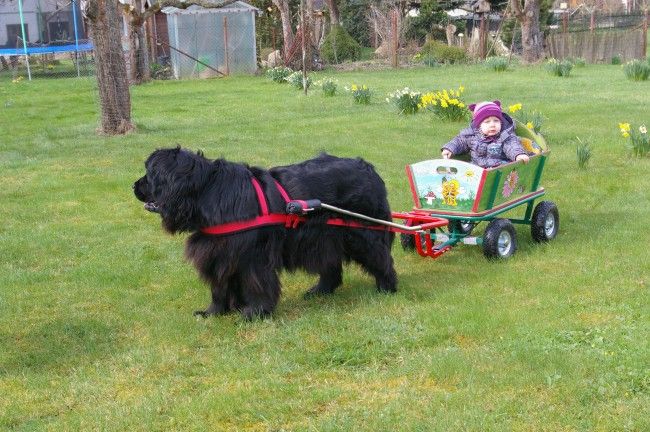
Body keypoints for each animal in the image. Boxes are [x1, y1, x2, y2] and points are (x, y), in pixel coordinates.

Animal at [132, 147, 394, 318]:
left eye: (149, 175)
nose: (133, 185)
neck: (209, 192)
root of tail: (369, 169)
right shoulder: (219, 253)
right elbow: (219, 286)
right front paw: (213, 312)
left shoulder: (252, 256)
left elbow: (255, 282)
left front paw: (254, 313)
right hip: (325, 237)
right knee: (330, 264)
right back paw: (320, 291)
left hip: (362, 233)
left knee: (380, 258)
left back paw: (387, 287)